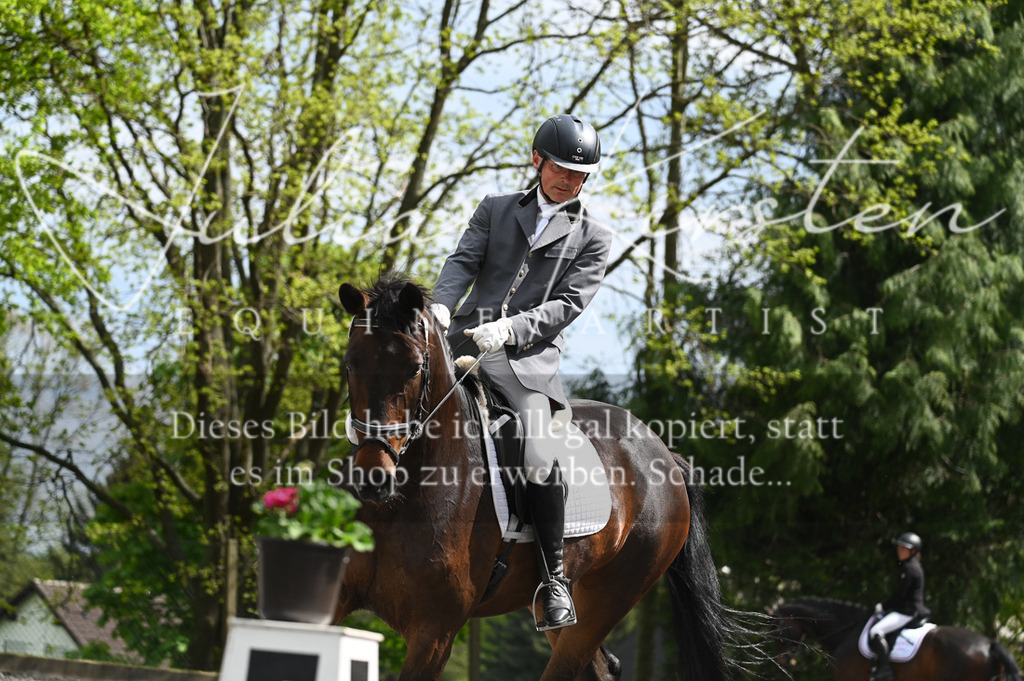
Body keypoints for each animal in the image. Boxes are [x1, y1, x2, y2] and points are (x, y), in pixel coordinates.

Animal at [331, 275, 750, 681]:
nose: (373, 478)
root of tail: (663, 452)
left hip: (612, 595)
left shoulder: (434, 633)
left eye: (415, 368)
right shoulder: (335, 598)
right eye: (350, 365)